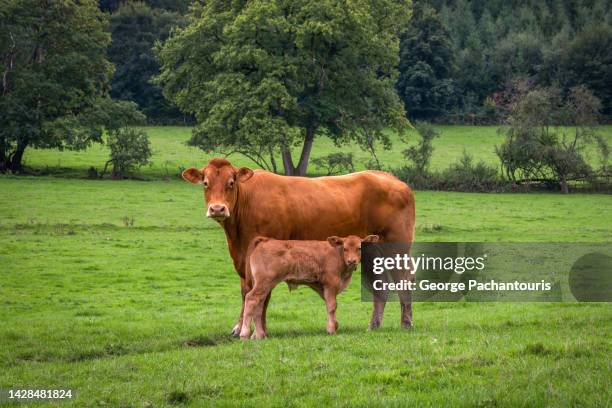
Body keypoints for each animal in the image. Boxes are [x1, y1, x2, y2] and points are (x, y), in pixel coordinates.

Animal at [239, 234, 378, 340]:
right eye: (345, 248)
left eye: (359, 248)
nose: (352, 261)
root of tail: (265, 240)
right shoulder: (331, 284)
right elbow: (332, 306)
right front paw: (331, 329)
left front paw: (334, 325)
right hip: (264, 283)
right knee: (251, 299)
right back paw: (244, 333)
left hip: (265, 285)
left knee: (259, 306)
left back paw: (259, 335)